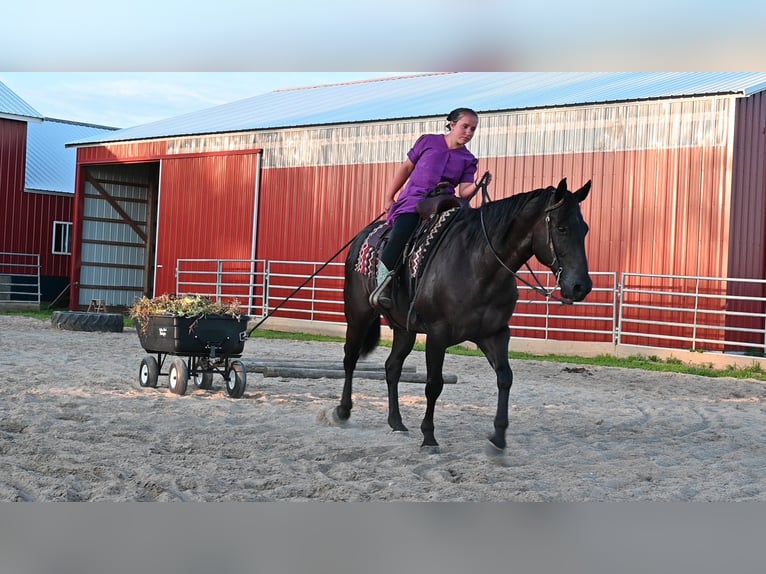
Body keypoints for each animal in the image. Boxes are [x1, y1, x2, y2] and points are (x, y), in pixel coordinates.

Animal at [332, 178, 592, 452]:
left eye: (584, 229)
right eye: (562, 228)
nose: (581, 286)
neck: (479, 265)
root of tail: (363, 237)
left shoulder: (495, 334)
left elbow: (505, 378)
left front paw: (498, 436)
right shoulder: (437, 334)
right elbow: (434, 384)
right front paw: (429, 436)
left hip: (404, 329)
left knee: (392, 367)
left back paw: (396, 422)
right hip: (358, 315)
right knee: (350, 359)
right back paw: (343, 410)